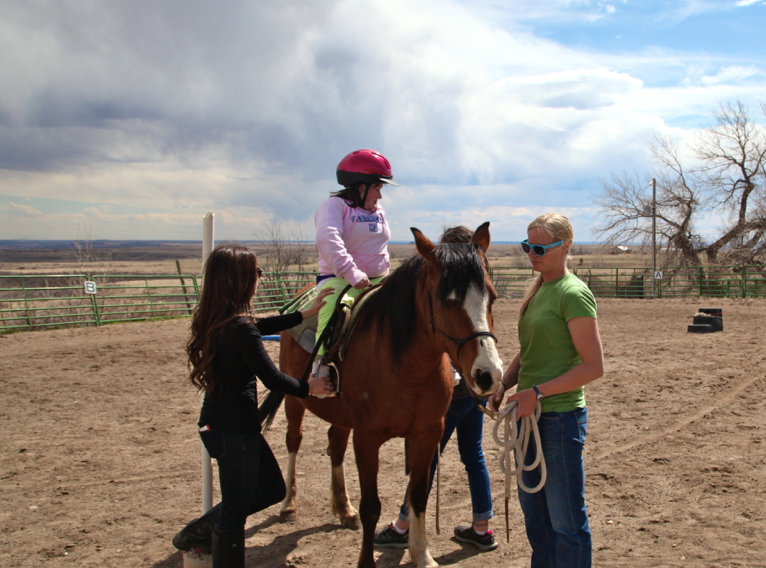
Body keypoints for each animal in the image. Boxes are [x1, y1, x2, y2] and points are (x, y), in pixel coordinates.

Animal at [264, 222, 504, 568]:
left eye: (492, 297)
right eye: (446, 301)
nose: (488, 374)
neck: (406, 367)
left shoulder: (428, 435)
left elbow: (418, 496)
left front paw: (422, 555)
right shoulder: (367, 438)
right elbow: (371, 507)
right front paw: (367, 561)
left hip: (342, 417)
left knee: (335, 446)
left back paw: (343, 508)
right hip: (295, 400)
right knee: (293, 442)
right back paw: (288, 505)